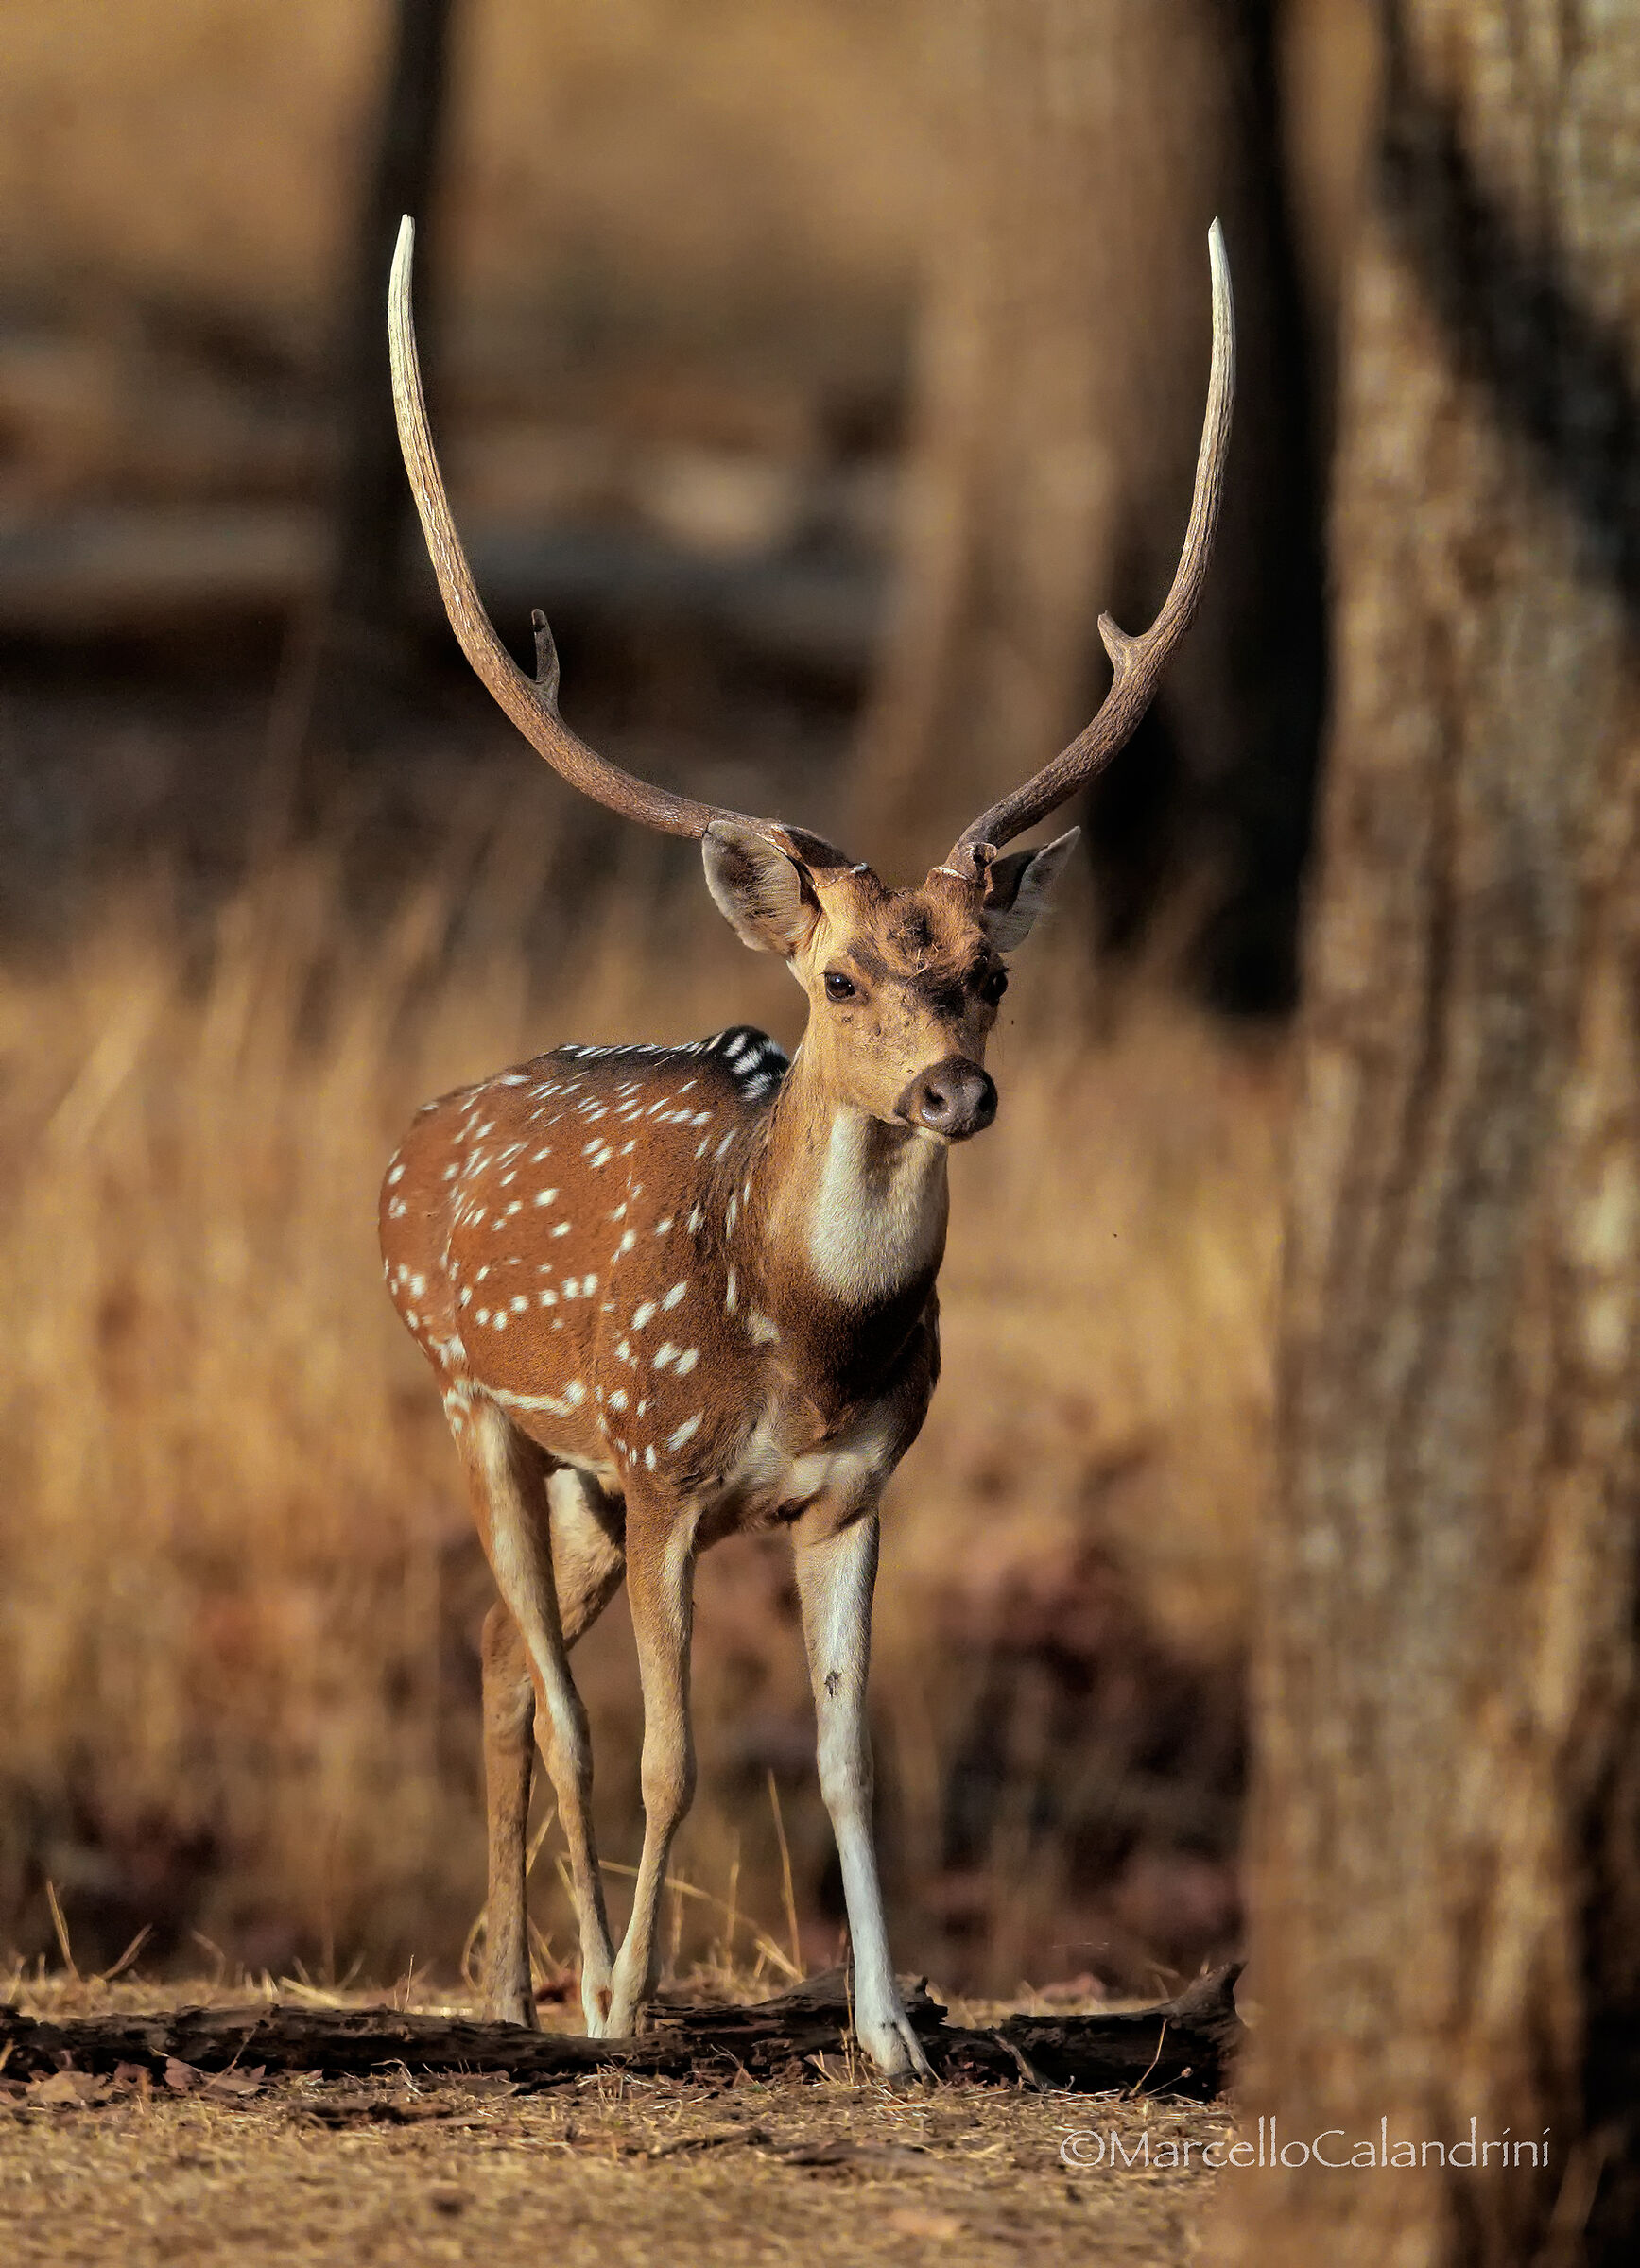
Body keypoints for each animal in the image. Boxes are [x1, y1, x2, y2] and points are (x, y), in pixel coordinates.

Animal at [379, 213, 1233, 2078]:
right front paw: (637, 2004)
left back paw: (507, 1986)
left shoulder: (855, 1492)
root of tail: (412, 1136)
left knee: (493, 1658)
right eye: (841, 976)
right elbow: (672, 1750)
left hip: (573, 1478)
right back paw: (566, 1993)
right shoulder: (666, 1473)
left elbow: (845, 1761)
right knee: (545, 1690)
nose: (956, 1094)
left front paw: (894, 2035)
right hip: (483, 1407)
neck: (804, 1341)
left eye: (989, 973)